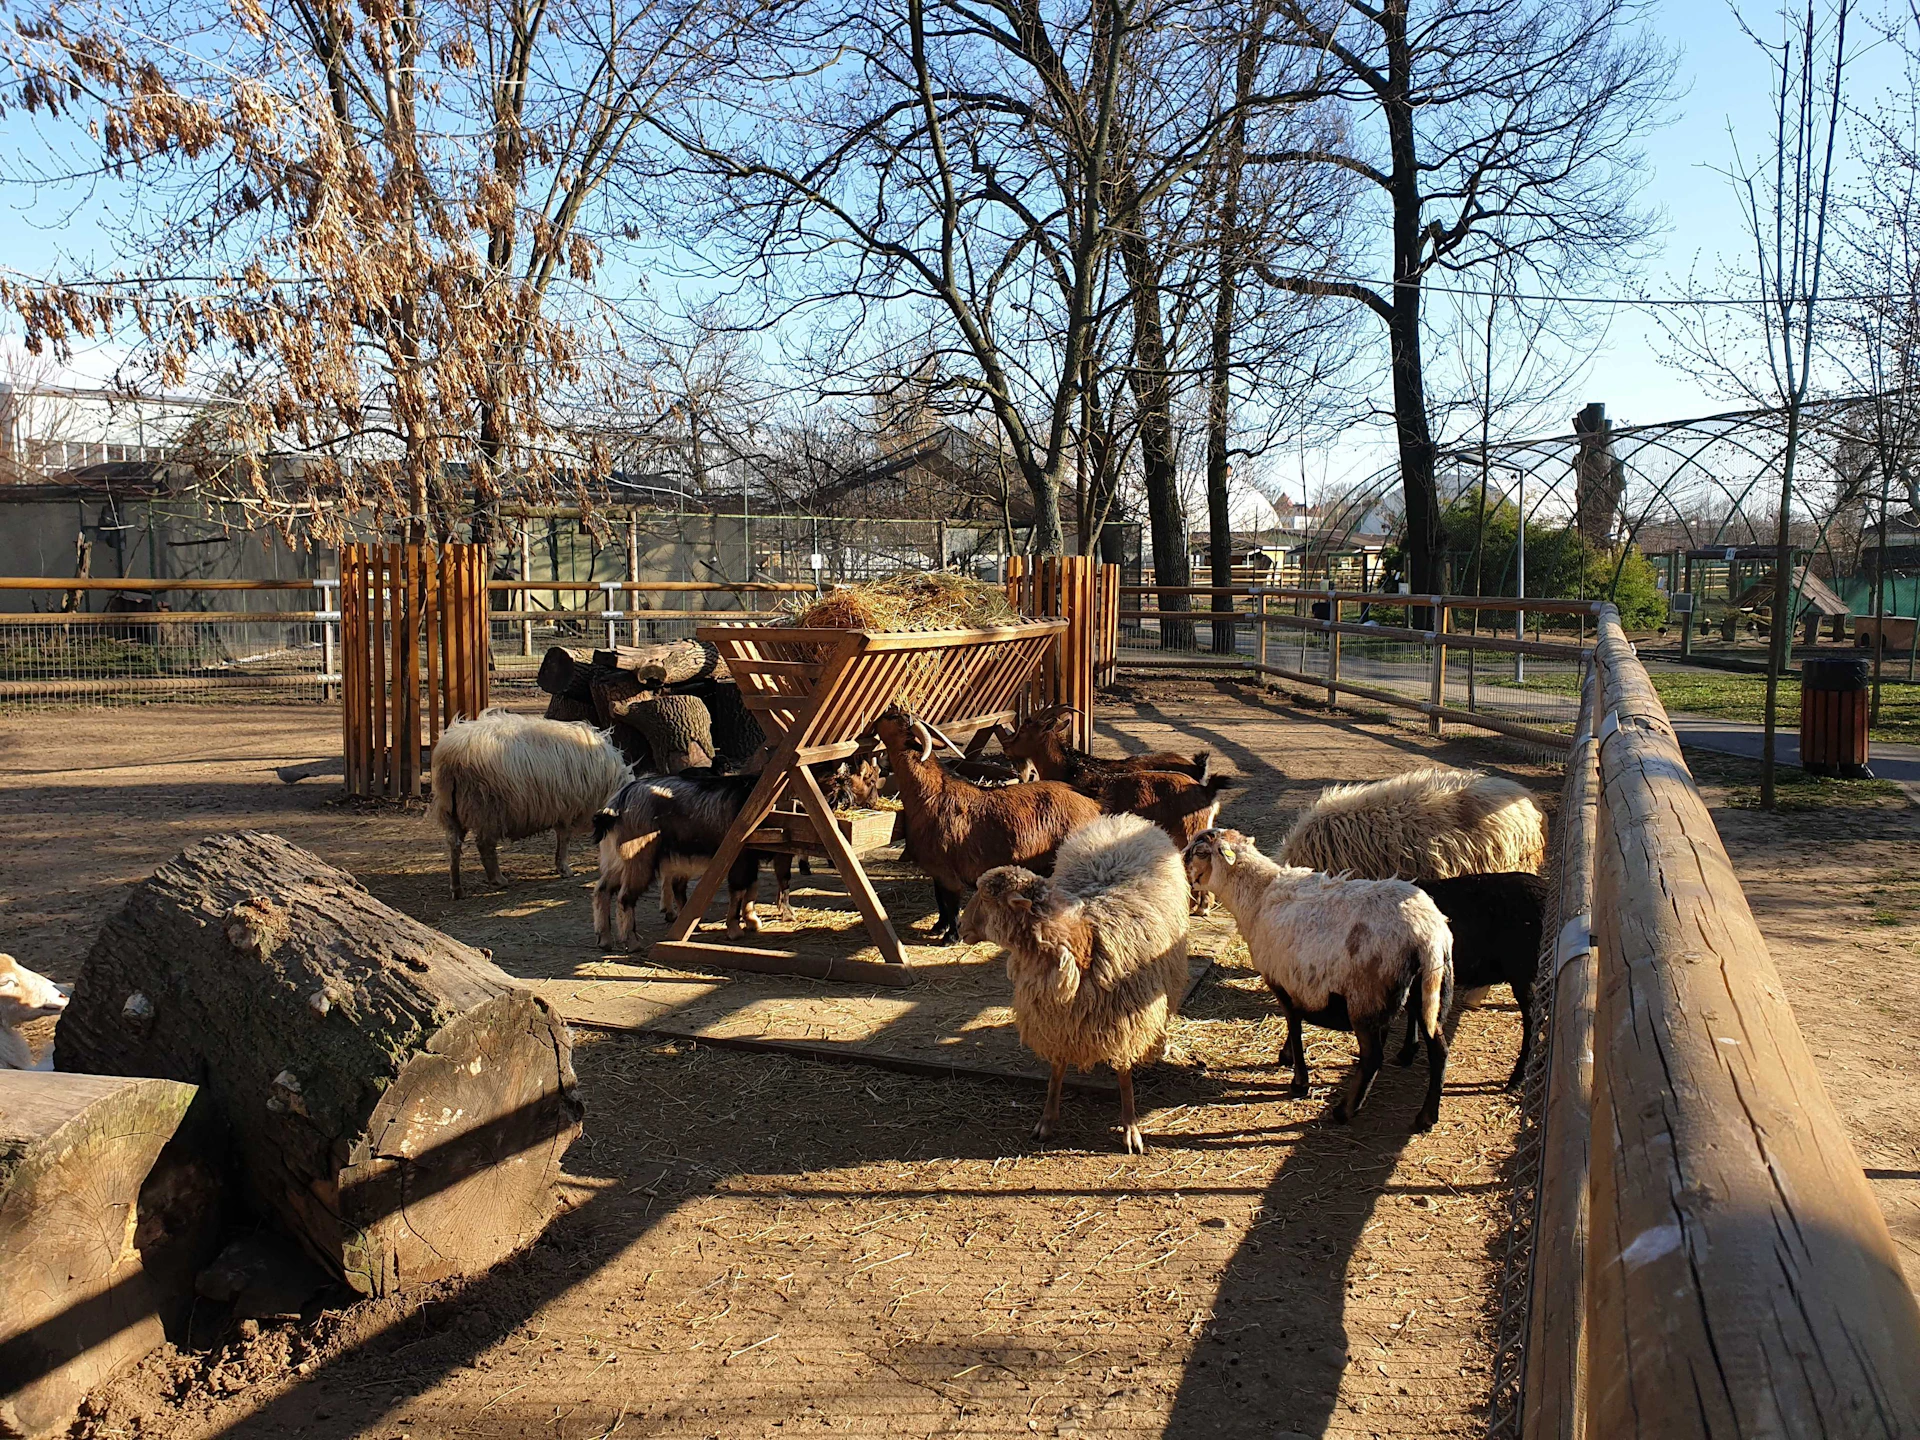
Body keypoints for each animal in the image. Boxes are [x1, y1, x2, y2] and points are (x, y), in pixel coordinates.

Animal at [431, 709, 632, 898]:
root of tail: (450, 756)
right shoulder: (568, 808)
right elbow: (564, 839)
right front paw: (564, 869)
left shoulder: (563, 808)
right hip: (487, 808)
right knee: (485, 845)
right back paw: (498, 880)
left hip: (450, 809)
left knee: (454, 845)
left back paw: (457, 889)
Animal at [591, 771, 796, 946]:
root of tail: (616, 806)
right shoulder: (739, 856)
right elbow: (739, 890)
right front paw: (735, 929)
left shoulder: (752, 859)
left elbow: (752, 888)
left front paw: (752, 921)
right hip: (638, 857)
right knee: (625, 897)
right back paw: (632, 941)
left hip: (618, 860)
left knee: (602, 889)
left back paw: (604, 939)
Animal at [875, 706, 1104, 943]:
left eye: (894, 717)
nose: (881, 715)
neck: (932, 794)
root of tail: (1093, 805)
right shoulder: (936, 871)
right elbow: (940, 900)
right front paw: (939, 927)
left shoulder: (947, 871)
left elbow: (951, 903)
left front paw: (951, 936)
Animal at [958, 814, 1191, 1153]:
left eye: (987, 897)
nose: (959, 925)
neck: (1084, 948)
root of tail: (1123, 820)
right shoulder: (1056, 1021)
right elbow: (1056, 1072)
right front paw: (1047, 1120)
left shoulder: (1125, 1023)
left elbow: (1124, 1076)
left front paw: (1130, 1126)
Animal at [1184, 828, 1455, 1132]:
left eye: (1200, 852)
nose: (1181, 868)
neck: (1257, 896)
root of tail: (1428, 934)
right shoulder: (1295, 981)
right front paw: (1287, 1057)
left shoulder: (1282, 982)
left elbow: (1294, 1023)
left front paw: (1298, 1081)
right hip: (1429, 991)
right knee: (1439, 1050)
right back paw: (1426, 1115)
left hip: (1366, 997)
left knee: (1373, 1058)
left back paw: (1345, 1111)